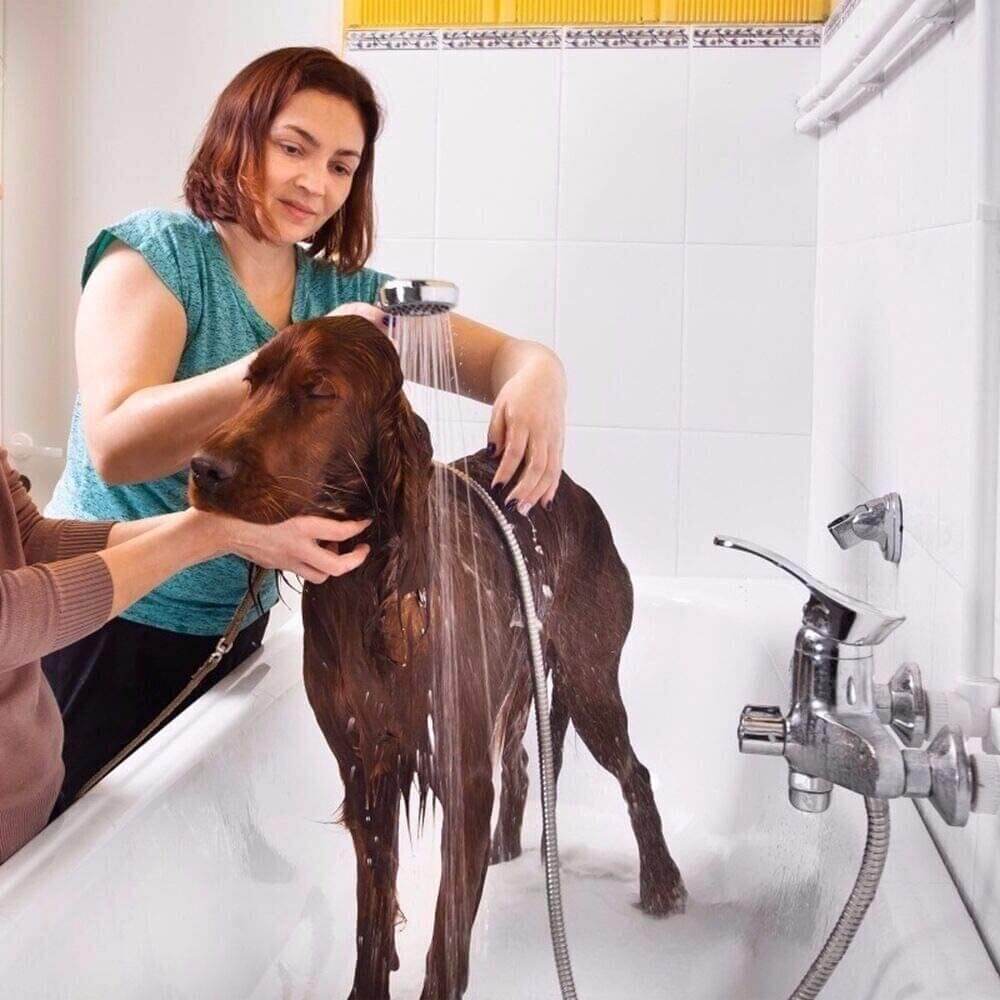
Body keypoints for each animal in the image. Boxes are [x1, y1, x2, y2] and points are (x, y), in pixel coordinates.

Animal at [188, 316, 688, 996]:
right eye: (250, 383)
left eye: (318, 391)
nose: (201, 468)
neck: (362, 588)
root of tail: (574, 489)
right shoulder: (364, 767)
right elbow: (372, 916)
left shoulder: (461, 775)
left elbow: (447, 937)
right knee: (523, 761)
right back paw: (508, 845)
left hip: (588, 685)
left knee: (634, 772)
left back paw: (661, 882)